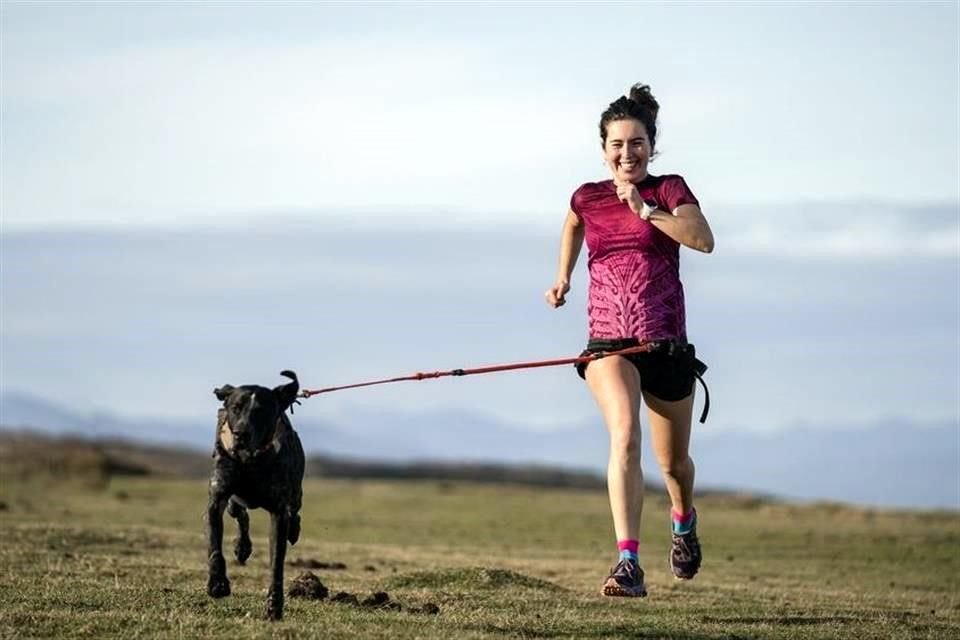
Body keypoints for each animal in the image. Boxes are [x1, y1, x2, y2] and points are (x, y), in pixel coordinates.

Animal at [206, 370, 304, 620]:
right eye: (235, 407)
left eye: (261, 411)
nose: (241, 434)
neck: (249, 461)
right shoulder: (217, 497)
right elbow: (214, 546)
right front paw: (217, 584)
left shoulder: (279, 511)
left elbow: (277, 564)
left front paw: (274, 606)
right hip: (234, 502)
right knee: (240, 514)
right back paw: (242, 547)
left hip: (296, 493)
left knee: (295, 511)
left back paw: (294, 529)